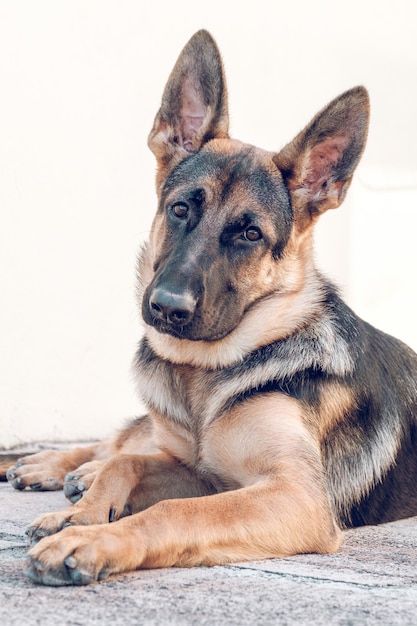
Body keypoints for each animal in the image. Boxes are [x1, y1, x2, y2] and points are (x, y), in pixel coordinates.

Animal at [5, 29, 416, 584]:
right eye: (180, 208)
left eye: (250, 234)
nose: (166, 307)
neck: (207, 372)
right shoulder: (201, 470)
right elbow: (126, 463)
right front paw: (82, 514)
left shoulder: (291, 495)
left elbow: (172, 510)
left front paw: (89, 537)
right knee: (122, 442)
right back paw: (56, 466)